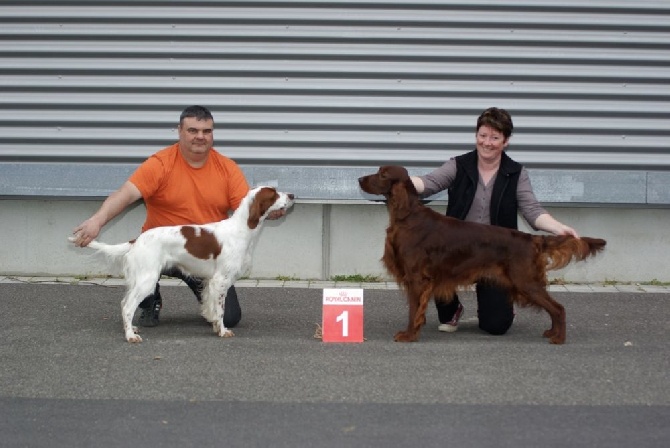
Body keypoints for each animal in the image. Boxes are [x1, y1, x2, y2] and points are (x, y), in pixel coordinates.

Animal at [69, 186, 296, 344]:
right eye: (274, 194)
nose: (292, 195)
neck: (242, 229)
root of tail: (137, 240)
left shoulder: (211, 282)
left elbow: (213, 308)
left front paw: (215, 327)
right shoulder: (220, 280)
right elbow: (221, 310)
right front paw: (223, 331)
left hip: (139, 279)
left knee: (125, 303)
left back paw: (132, 329)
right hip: (148, 279)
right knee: (127, 306)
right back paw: (130, 336)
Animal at [362, 166, 608, 344]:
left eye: (383, 174)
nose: (359, 179)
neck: (407, 216)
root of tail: (532, 239)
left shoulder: (416, 278)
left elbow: (414, 310)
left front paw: (409, 335)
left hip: (525, 281)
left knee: (558, 308)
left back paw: (558, 338)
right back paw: (551, 332)